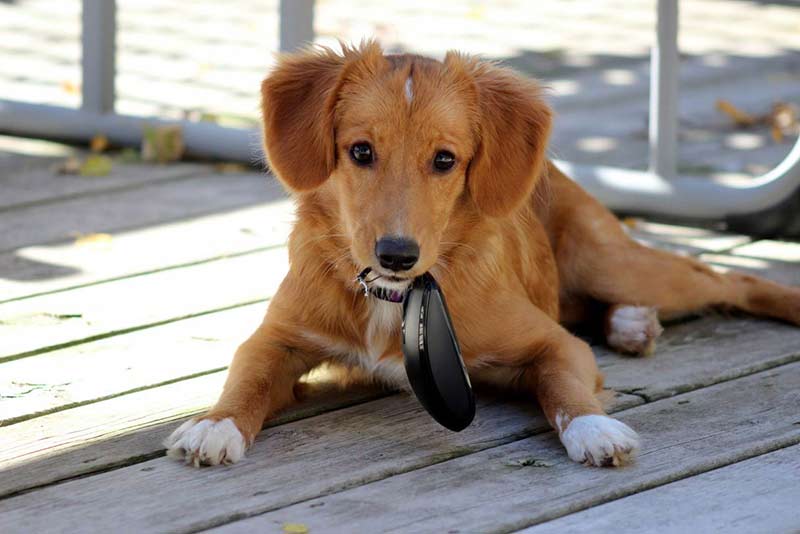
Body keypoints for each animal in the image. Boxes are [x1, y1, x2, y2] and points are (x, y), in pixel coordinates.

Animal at [162, 42, 800, 468]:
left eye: (445, 160)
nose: (397, 254)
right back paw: (631, 324)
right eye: (360, 151)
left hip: (615, 263)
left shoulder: (551, 342)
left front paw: (594, 428)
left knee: (727, 276)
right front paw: (215, 425)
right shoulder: (278, 337)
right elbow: (247, 377)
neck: (398, 297)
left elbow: (563, 387)